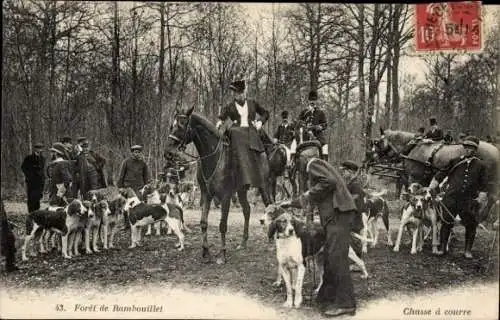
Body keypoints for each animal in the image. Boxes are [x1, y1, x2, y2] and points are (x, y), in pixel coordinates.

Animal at [166, 105, 272, 262]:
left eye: (182, 124)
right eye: (172, 125)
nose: (168, 152)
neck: (214, 158)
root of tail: (263, 153)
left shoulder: (226, 196)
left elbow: (222, 225)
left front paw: (222, 254)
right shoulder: (206, 194)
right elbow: (203, 222)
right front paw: (205, 252)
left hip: (263, 187)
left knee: (270, 206)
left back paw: (271, 241)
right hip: (241, 191)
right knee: (247, 210)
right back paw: (243, 242)